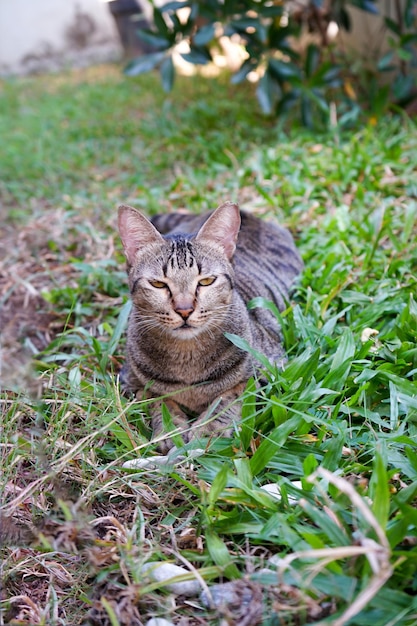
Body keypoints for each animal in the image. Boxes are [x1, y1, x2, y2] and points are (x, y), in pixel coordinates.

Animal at [118, 200, 300, 448]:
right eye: (158, 284)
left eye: (206, 281)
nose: (184, 310)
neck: (186, 359)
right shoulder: (129, 381)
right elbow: (156, 398)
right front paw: (169, 429)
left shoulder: (274, 372)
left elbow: (232, 395)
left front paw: (207, 430)